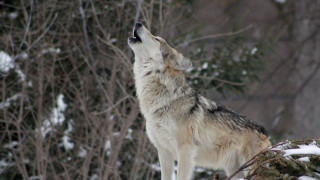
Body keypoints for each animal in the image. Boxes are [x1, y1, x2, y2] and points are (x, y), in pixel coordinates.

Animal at [127, 22, 270, 180]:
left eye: (157, 38)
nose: (138, 23)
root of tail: (263, 130)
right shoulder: (164, 151)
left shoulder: (185, 149)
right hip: (235, 171)